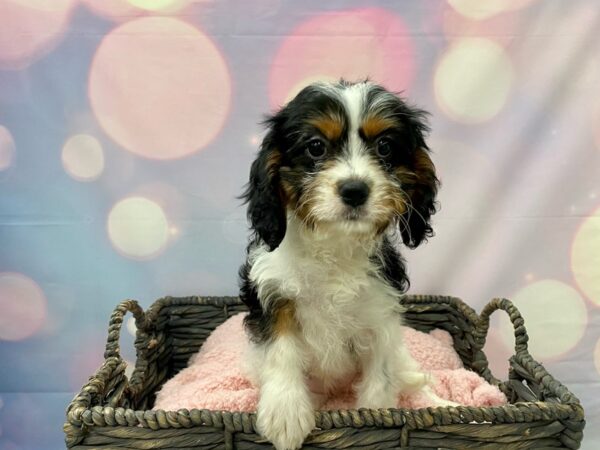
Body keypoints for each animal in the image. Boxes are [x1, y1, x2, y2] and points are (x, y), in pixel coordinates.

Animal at [241, 81, 448, 450]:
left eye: (384, 147)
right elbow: (282, 349)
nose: (355, 190)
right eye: (315, 147)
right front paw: (285, 411)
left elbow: (381, 379)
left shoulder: (380, 315)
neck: (336, 245)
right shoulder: (273, 292)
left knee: (409, 378)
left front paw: (376, 419)